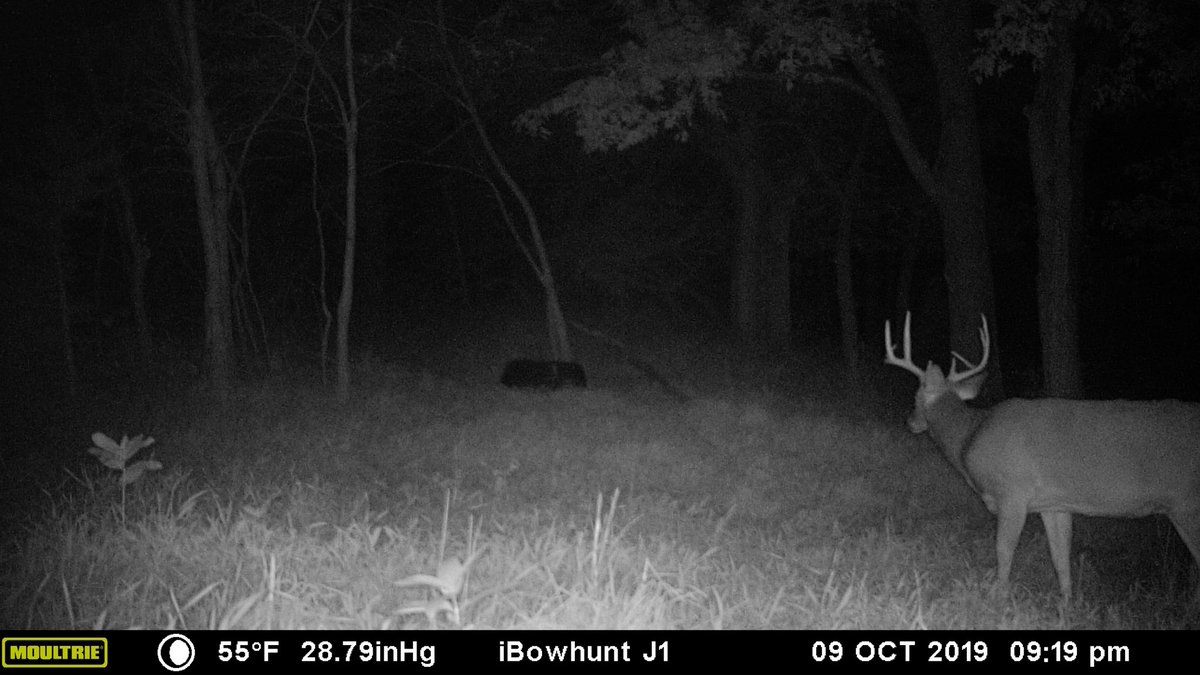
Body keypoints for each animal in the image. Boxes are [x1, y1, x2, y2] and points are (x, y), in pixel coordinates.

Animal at [884, 312, 1200, 603]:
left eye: (916, 396)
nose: (910, 421)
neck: (970, 436)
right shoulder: (1054, 503)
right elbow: (1060, 557)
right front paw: (1067, 606)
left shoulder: (1012, 491)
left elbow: (1003, 549)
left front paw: (999, 598)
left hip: (1186, 504)